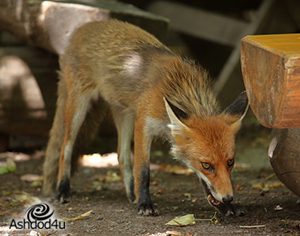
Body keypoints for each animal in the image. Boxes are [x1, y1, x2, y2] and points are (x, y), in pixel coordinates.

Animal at [42, 19, 248, 216]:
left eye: (230, 162)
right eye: (207, 165)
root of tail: (83, 27)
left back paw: (131, 194)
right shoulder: (143, 124)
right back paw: (63, 189)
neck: (177, 88)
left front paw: (225, 208)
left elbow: (205, 185)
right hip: (78, 108)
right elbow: (143, 170)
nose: (228, 198)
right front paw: (145, 204)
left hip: (125, 114)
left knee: (121, 155)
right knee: (65, 148)